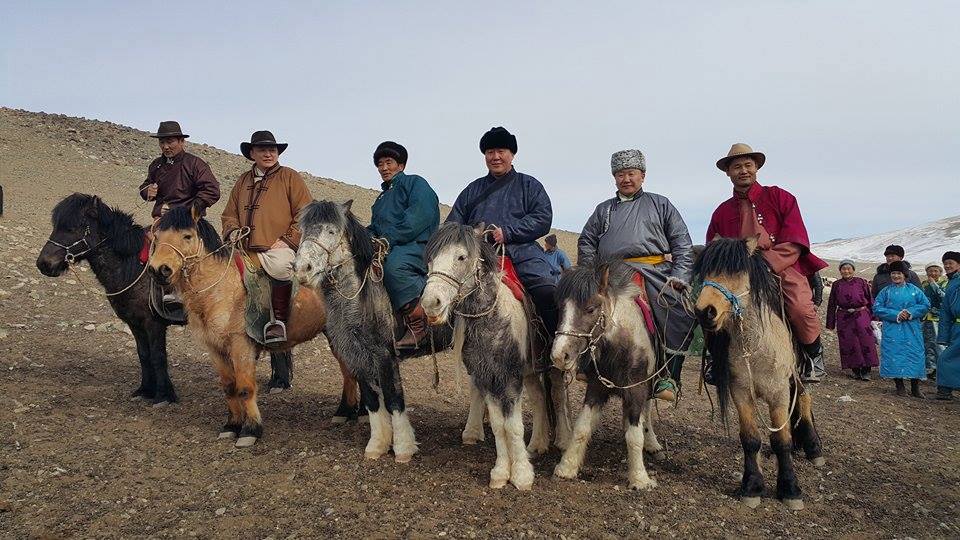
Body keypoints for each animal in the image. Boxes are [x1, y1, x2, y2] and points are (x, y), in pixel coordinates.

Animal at [35, 194, 294, 404]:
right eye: (57, 226)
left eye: (73, 228)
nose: (44, 264)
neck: (132, 267)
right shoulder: (135, 323)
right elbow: (143, 355)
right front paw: (145, 390)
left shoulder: (153, 323)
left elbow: (158, 357)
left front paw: (163, 395)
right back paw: (278, 382)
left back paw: (279, 383)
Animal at [148, 205, 358, 446]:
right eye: (156, 237)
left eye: (187, 236)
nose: (158, 269)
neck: (220, 288)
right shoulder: (214, 348)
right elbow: (229, 387)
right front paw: (231, 425)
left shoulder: (241, 345)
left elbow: (245, 388)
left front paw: (250, 430)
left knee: (349, 369)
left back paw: (349, 412)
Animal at [420, 221, 568, 492]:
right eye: (431, 258)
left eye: (461, 256)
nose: (431, 303)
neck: (492, 317)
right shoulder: (487, 378)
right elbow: (500, 426)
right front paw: (500, 473)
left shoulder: (510, 379)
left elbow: (514, 426)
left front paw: (521, 475)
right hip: (530, 372)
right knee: (539, 398)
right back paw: (537, 444)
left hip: (554, 366)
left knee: (557, 396)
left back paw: (562, 440)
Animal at [548, 262, 668, 490]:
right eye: (560, 308)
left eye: (590, 309)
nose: (559, 355)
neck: (621, 346)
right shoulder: (596, 388)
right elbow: (582, 427)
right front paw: (567, 467)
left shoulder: (637, 389)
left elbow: (635, 435)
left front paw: (640, 479)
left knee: (646, 412)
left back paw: (652, 443)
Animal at [688, 234, 824, 508]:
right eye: (705, 270)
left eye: (736, 270)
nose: (704, 311)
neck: (756, 345)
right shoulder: (740, 392)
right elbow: (750, 439)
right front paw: (752, 485)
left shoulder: (778, 393)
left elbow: (781, 440)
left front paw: (789, 488)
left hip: (798, 374)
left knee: (805, 399)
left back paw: (813, 446)